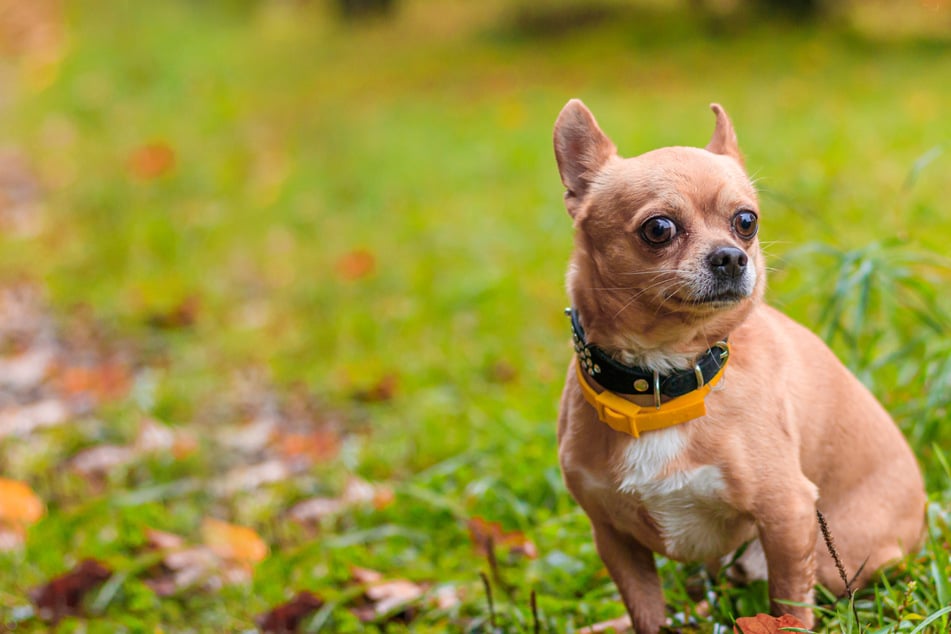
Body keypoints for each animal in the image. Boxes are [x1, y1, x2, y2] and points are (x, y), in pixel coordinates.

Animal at [556, 101, 924, 628]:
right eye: (659, 229)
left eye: (746, 222)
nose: (731, 257)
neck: (664, 382)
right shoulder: (614, 538)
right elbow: (648, 615)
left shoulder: (788, 515)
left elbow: (789, 608)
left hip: (832, 558)